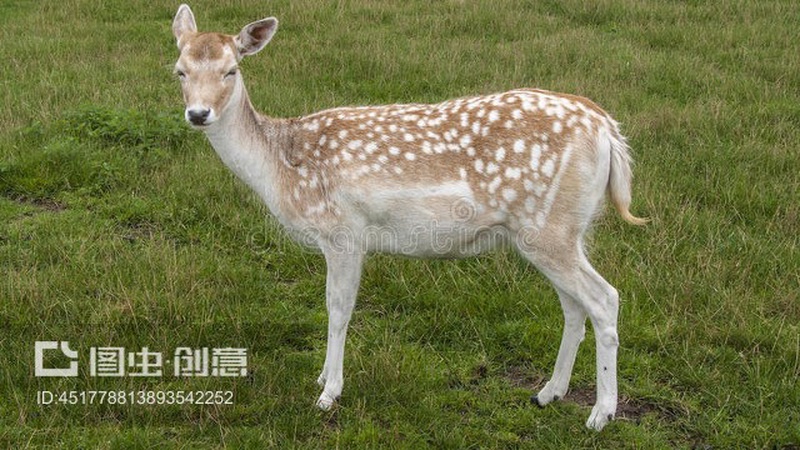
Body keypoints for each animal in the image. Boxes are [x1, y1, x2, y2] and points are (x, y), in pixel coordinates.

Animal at [171, 4, 647, 431]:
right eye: (179, 70)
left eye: (232, 70)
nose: (198, 114)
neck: (281, 169)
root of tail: (607, 130)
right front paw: (323, 378)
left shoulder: (343, 231)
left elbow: (338, 308)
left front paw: (329, 393)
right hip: (560, 229)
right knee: (574, 305)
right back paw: (549, 393)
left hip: (548, 226)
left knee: (604, 298)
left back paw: (600, 414)